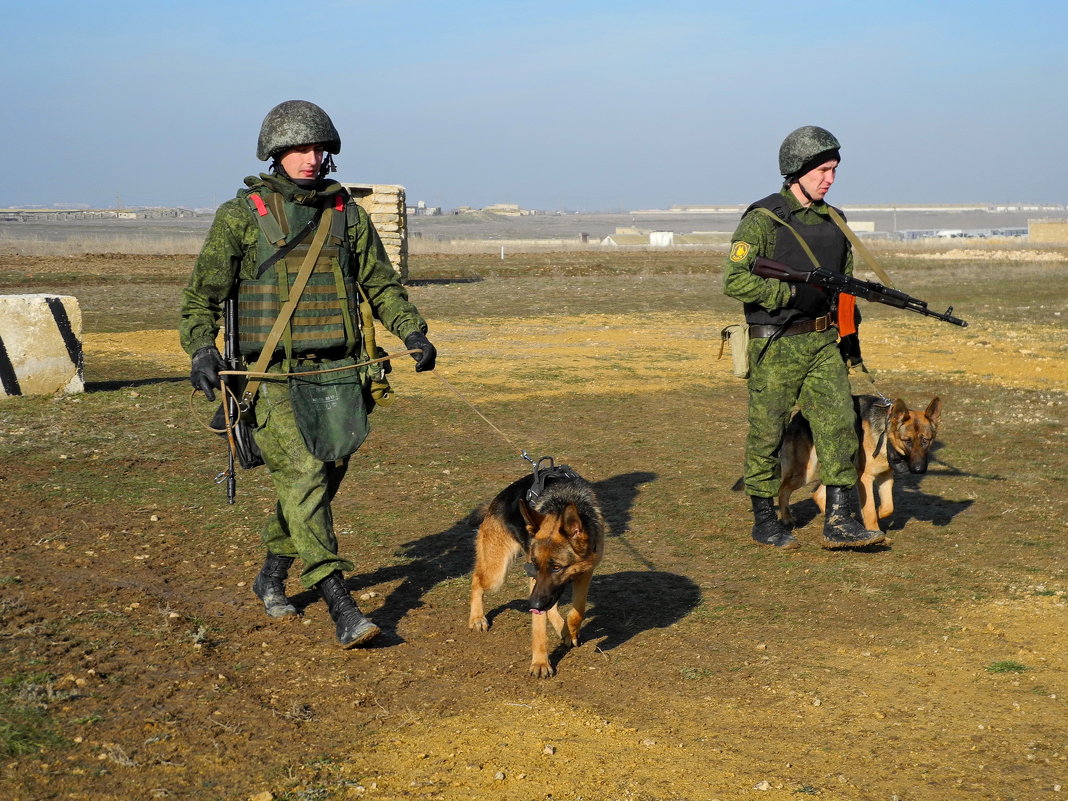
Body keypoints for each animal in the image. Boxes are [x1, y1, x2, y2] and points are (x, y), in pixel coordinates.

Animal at [465, 467, 606, 679]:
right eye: (535, 564)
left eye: (557, 567)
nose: (532, 605)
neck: (563, 500)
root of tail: (494, 502)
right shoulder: (535, 580)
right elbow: (539, 628)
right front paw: (540, 662)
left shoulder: (585, 572)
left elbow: (578, 611)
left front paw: (569, 630)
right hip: (497, 574)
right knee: (476, 579)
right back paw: (477, 618)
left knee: (552, 607)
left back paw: (562, 628)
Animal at [777, 395, 944, 534]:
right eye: (907, 441)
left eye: (925, 441)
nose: (918, 470)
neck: (885, 435)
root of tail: (799, 415)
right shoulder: (865, 478)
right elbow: (869, 510)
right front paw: (874, 532)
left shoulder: (885, 476)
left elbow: (888, 507)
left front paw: (871, 516)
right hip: (805, 472)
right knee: (783, 490)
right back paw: (787, 519)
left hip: (838, 468)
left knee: (818, 494)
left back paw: (837, 522)